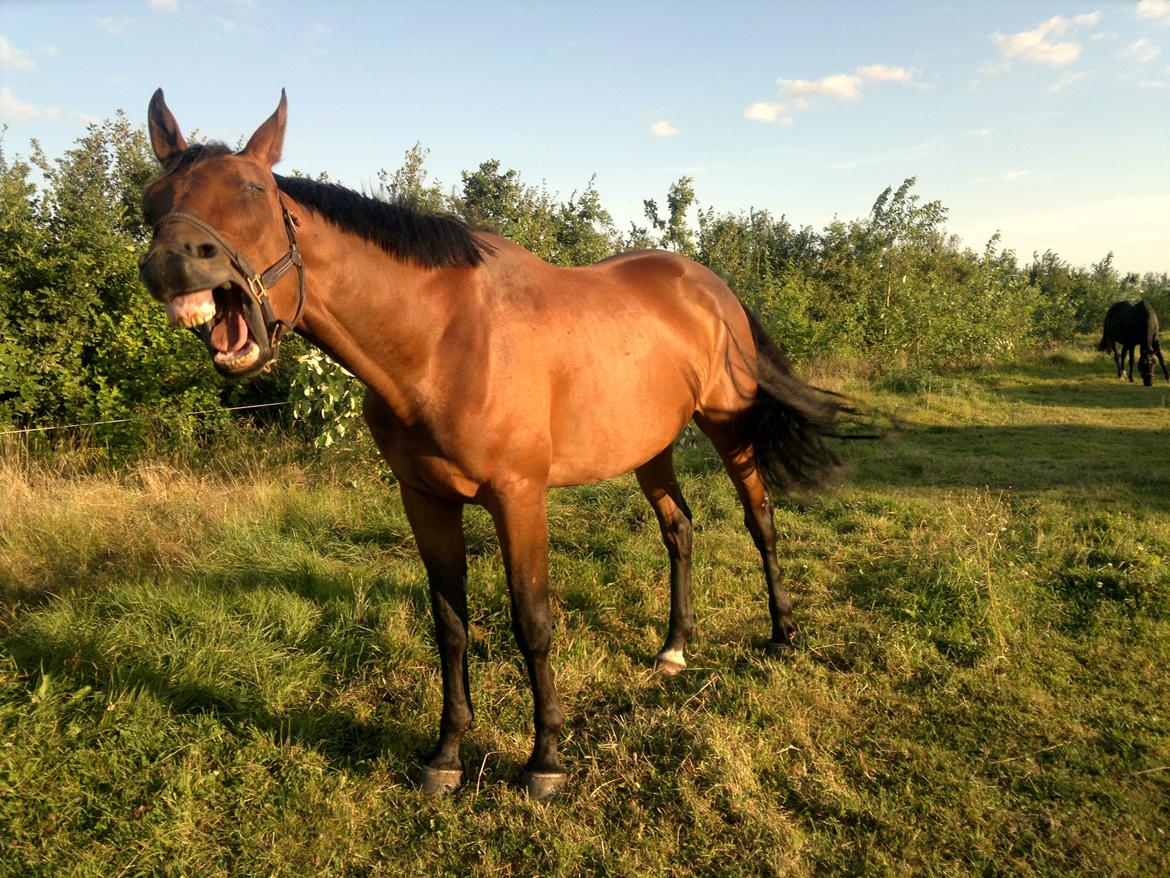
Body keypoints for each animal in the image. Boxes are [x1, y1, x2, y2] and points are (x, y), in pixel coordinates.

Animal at [139, 89, 851, 796]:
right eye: (153, 199)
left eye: (253, 190)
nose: (174, 260)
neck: (440, 342)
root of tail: (709, 287)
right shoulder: (424, 500)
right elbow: (450, 624)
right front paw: (447, 755)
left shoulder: (519, 497)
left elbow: (532, 621)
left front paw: (546, 762)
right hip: (650, 446)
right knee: (678, 528)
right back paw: (674, 649)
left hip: (727, 427)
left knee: (760, 518)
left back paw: (782, 633)